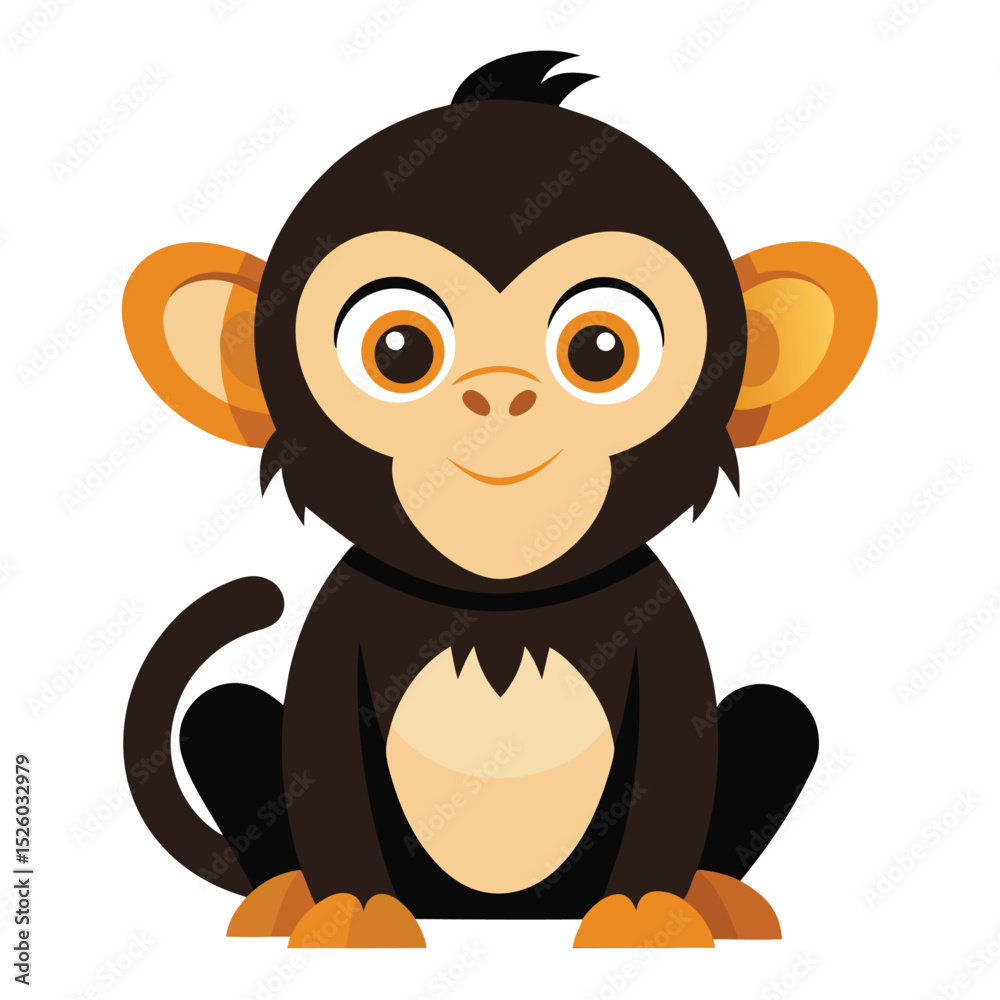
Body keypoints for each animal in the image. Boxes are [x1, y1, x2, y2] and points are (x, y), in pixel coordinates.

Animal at [121, 51, 876, 948]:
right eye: (399, 350)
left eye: (600, 349)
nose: (500, 396)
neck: (502, 609)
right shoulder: (339, 621)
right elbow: (320, 757)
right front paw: (353, 909)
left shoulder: (660, 620)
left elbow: (678, 759)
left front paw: (648, 909)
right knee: (221, 712)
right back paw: (286, 896)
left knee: (777, 716)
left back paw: (717, 895)